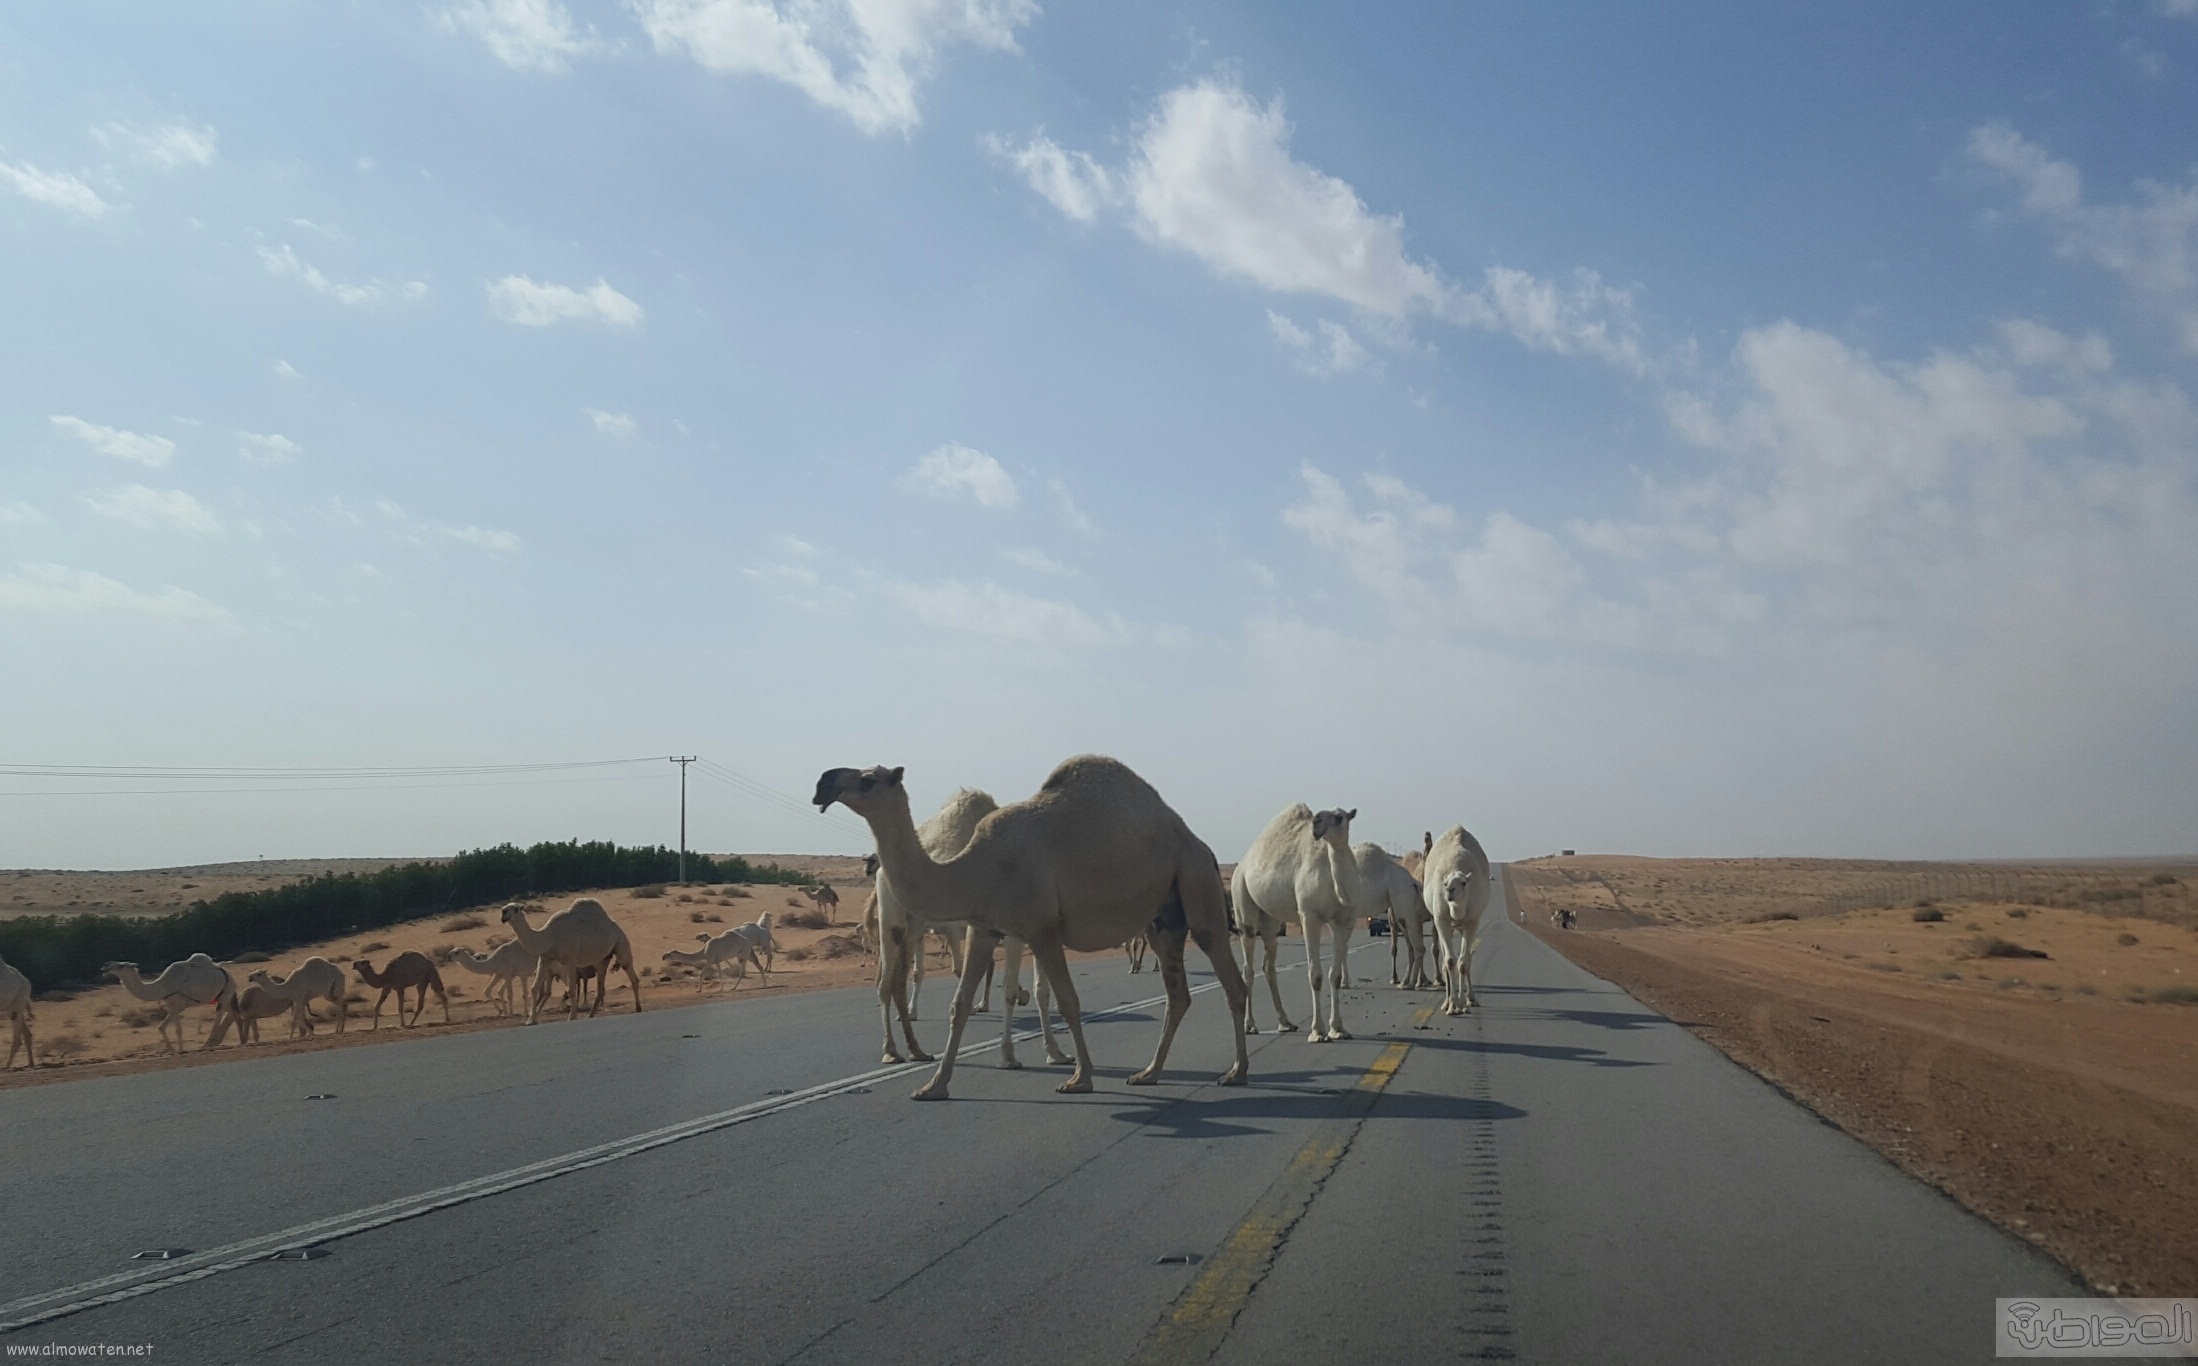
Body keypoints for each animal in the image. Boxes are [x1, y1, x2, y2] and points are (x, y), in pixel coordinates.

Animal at [104, 950, 238, 1055]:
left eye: (121, 965)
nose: (106, 965)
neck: (163, 987)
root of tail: (225, 971)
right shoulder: (172, 1006)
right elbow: (161, 1027)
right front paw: (172, 1050)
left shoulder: (179, 1005)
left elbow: (177, 1029)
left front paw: (180, 1050)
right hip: (225, 996)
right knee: (232, 1013)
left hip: (226, 993)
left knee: (218, 1018)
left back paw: (207, 1045)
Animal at [507, 893, 650, 1020]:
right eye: (505, 908)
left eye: (515, 909)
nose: (504, 915)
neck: (549, 936)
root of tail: (615, 925)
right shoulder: (545, 958)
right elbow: (534, 988)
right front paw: (531, 1020)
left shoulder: (570, 960)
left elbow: (571, 989)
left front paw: (572, 1017)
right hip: (601, 959)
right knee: (600, 987)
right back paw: (590, 1014)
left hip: (621, 942)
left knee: (631, 974)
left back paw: (638, 1008)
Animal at [817, 756, 1248, 1095]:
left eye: (868, 779)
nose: (823, 783)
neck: (976, 867)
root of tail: (1197, 843)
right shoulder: (985, 928)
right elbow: (960, 1004)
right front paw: (934, 1086)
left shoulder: (1041, 929)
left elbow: (1068, 1001)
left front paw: (1079, 1077)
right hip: (1164, 919)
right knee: (1178, 994)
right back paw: (1148, 1073)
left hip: (1196, 880)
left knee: (1230, 979)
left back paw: (1236, 1072)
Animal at [1230, 805, 1362, 1038]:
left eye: (1339, 817)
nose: (1316, 822)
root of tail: (1242, 865)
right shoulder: (1309, 916)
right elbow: (1315, 975)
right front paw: (1318, 1032)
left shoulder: (1345, 921)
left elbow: (1335, 975)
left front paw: (1338, 1029)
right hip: (1242, 898)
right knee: (1248, 967)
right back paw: (1250, 1025)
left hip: (1270, 920)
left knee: (1269, 964)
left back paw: (1285, 1022)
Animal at [1424, 818, 1494, 1011]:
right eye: (1446, 883)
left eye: (1463, 883)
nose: (1449, 891)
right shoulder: (1441, 919)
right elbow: (1449, 961)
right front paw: (1452, 1005)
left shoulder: (1472, 921)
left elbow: (1463, 962)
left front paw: (1463, 1003)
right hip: (1445, 924)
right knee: (1445, 959)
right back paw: (1447, 1001)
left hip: (1464, 925)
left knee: (1467, 959)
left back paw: (1471, 998)